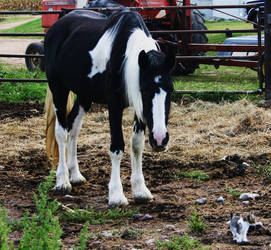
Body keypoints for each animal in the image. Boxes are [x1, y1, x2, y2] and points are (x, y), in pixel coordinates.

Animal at [44, 8, 175, 206]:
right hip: (58, 88)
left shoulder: (139, 110)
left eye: (171, 90)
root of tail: (57, 25)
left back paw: (75, 175)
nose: (160, 140)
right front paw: (116, 195)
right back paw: (63, 181)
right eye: (144, 90)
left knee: (73, 129)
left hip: (84, 95)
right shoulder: (115, 105)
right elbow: (117, 147)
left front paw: (140, 190)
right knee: (61, 133)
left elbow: (137, 145)